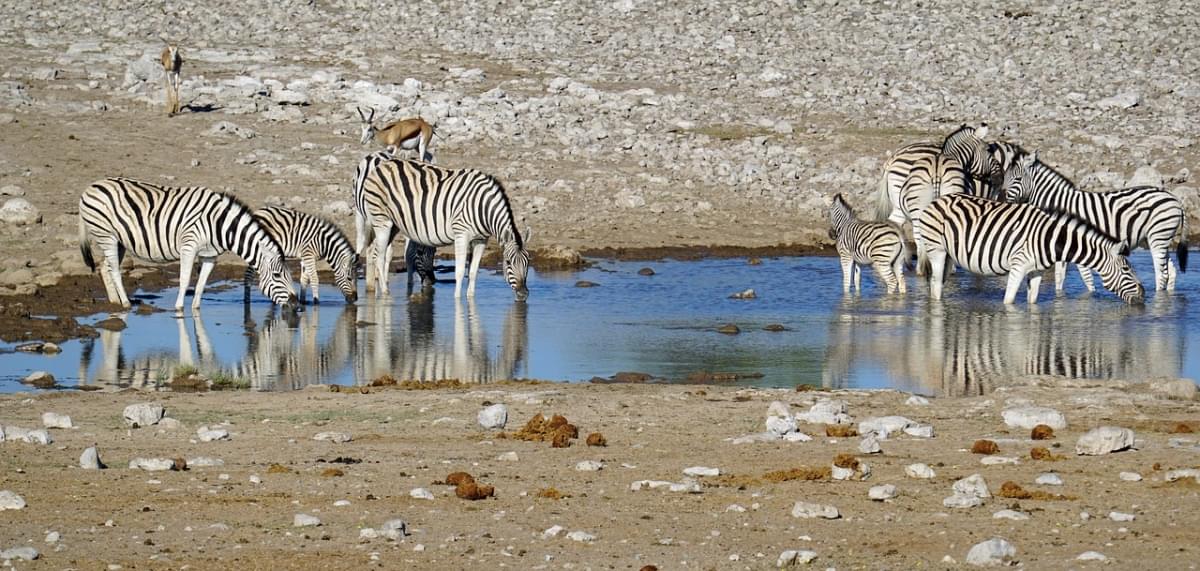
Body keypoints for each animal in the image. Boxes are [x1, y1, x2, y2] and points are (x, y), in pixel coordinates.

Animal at [78, 177, 297, 311]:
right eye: (277, 276)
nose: (296, 305)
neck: (218, 224)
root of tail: (90, 187)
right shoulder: (189, 247)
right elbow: (184, 280)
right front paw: (179, 309)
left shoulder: (210, 256)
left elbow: (201, 285)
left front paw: (196, 310)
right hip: (106, 235)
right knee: (114, 268)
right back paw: (124, 303)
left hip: (119, 240)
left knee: (104, 267)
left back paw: (114, 301)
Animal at [350, 153, 530, 301]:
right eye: (508, 262)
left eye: (527, 263)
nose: (523, 294)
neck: (482, 208)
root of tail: (380, 165)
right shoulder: (461, 234)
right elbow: (459, 271)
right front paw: (457, 301)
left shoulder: (481, 239)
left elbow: (472, 272)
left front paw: (471, 299)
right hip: (381, 220)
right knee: (378, 256)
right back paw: (385, 293)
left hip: (393, 224)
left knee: (376, 253)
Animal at [912, 195, 1147, 305]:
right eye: (1127, 270)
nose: (1144, 295)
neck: (1050, 240)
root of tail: (936, 200)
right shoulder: (1018, 266)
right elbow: (1008, 301)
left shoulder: (1037, 271)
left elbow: (1032, 302)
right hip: (937, 250)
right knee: (935, 284)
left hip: (950, 254)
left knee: (938, 283)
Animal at [998, 151, 1185, 292]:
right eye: (1004, 178)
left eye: (1017, 179)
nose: (1001, 200)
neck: (1059, 203)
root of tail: (1174, 198)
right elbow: (1060, 277)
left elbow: (1086, 277)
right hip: (1156, 239)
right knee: (1171, 271)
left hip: (1158, 236)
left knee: (1162, 273)